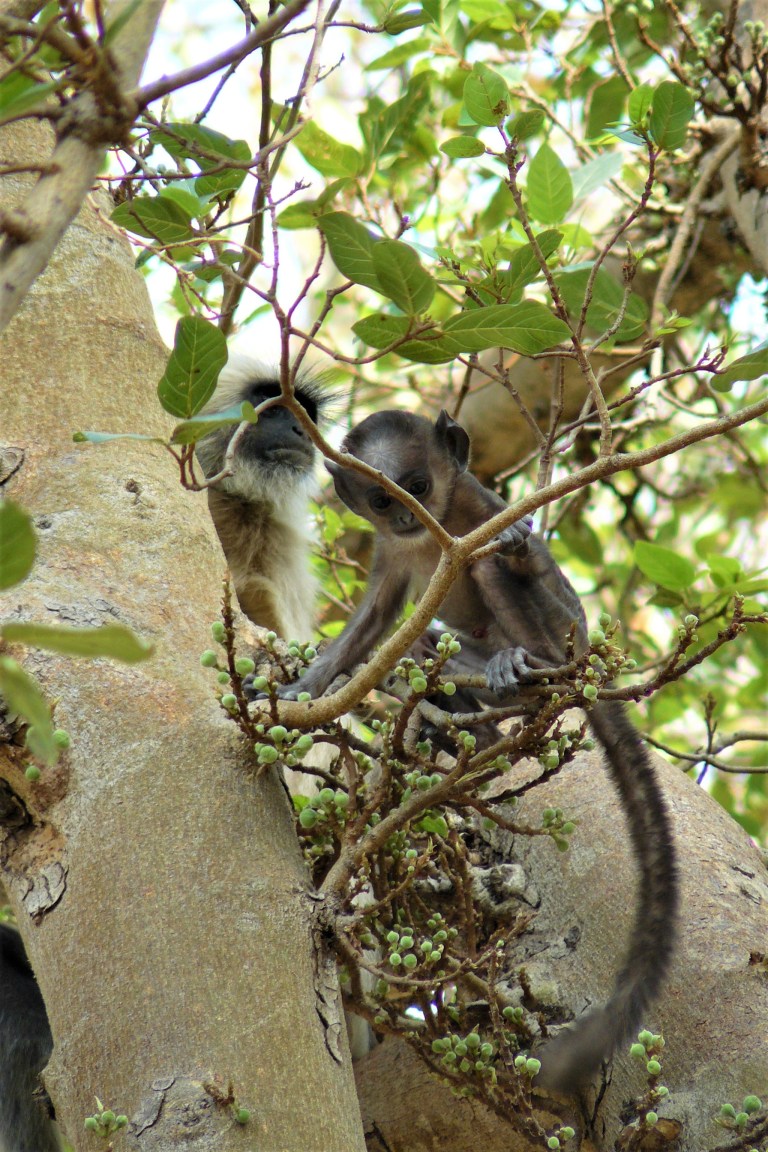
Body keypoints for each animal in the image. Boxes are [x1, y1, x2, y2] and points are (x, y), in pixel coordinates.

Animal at [270, 407, 679, 1094]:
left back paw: (520, 667)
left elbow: (520, 557)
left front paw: (518, 541)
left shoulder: (479, 511)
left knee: (500, 585)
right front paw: (302, 688)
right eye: (382, 500)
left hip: (563, 640)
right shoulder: (390, 555)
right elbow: (372, 628)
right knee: (422, 650)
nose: (408, 517)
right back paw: (465, 719)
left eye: (417, 486)